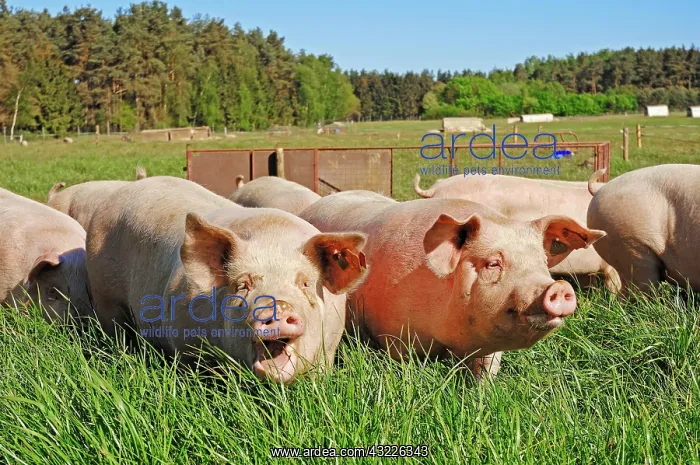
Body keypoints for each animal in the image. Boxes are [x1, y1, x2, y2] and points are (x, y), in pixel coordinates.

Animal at [86, 176, 367, 384]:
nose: (278, 306)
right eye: (243, 285)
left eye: (305, 283)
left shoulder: (329, 349)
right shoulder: (184, 342)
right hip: (105, 298)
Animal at [300, 190, 605, 377]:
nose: (559, 288)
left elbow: (485, 373)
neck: (451, 338)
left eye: (542, 262)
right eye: (493, 263)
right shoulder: (395, 337)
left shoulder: (489, 349)